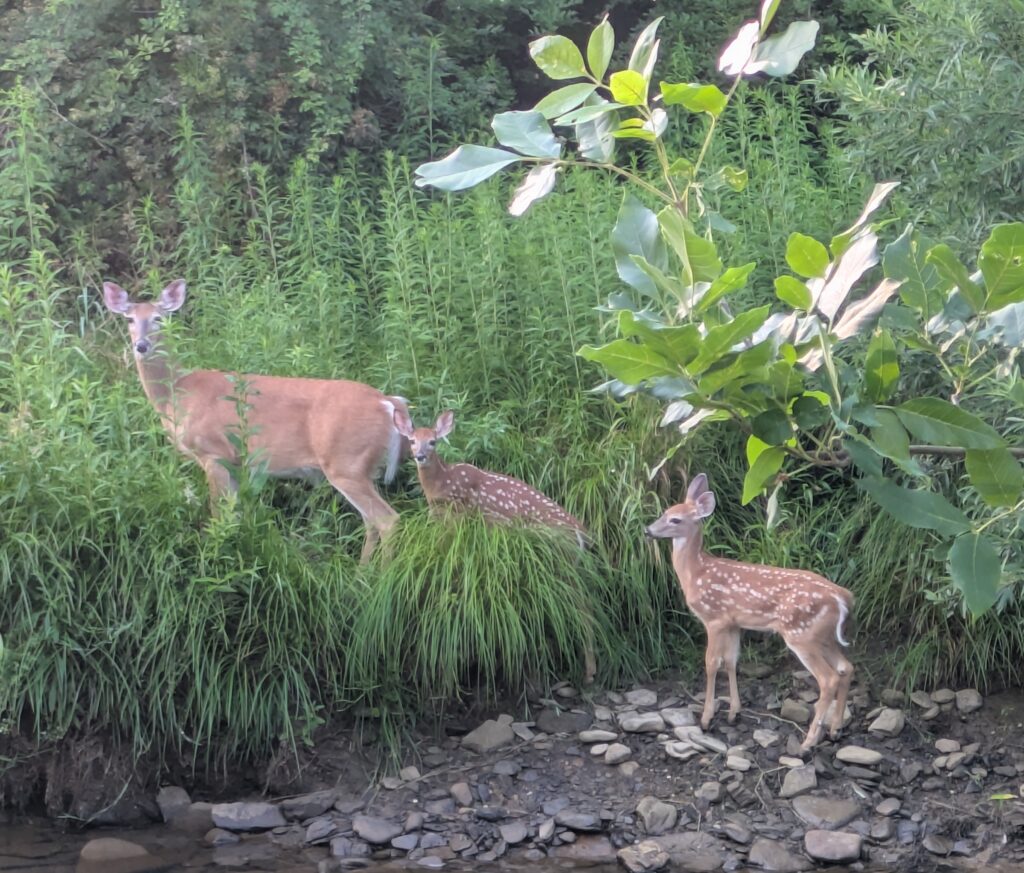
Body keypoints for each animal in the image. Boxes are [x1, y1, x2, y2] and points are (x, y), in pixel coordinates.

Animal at [103, 278, 409, 563]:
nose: (141, 346)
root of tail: (387, 402)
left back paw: (380, 576)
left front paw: (215, 559)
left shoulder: (213, 452)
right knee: (370, 520)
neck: (177, 394)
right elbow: (235, 515)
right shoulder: (236, 463)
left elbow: (218, 515)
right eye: (129, 319)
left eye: (159, 317)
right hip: (361, 467)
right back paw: (362, 570)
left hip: (345, 461)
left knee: (387, 519)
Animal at [392, 408, 595, 683]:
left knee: (583, 607)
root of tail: (581, 532)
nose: (420, 456)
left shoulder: (459, 518)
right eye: (412, 441)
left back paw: (588, 672)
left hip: (560, 555)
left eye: (433, 441)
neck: (440, 487)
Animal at [645, 474, 854, 752]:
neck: (696, 573)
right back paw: (835, 730)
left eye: (675, 519)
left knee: (829, 678)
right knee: (846, 667)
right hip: (823, 636)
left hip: (801, 634)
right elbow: (731, 662)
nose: (648, 530)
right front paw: (734, 713)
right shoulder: (734, 623)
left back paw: (808, 742)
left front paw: (706, 719)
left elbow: (711, 663)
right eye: (665, 512)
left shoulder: (714, 618)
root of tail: (843, 598)